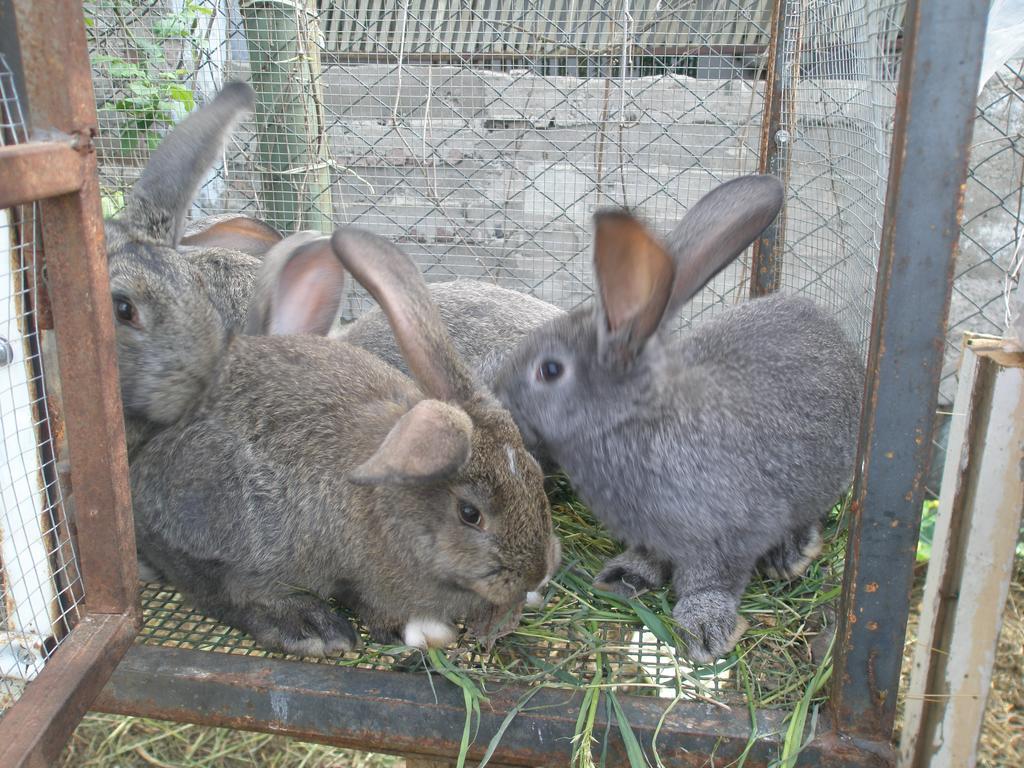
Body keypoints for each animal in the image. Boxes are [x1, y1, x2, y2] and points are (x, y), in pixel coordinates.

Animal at [130, 230, 561, 655]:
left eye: (535, 476)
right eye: (470, 513)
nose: (536, 573)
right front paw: (424, 632)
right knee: (217, 588)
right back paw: (311, 627)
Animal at [491, 177, 860, 663]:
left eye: (549, 370)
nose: (496, 396)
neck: (631, 420)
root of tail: (833, 329)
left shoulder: (728, 534)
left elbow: (711, 580)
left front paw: (703, 630)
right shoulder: (654, 534)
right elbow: (650, 556)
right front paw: (625, 576)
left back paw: (789, 554)